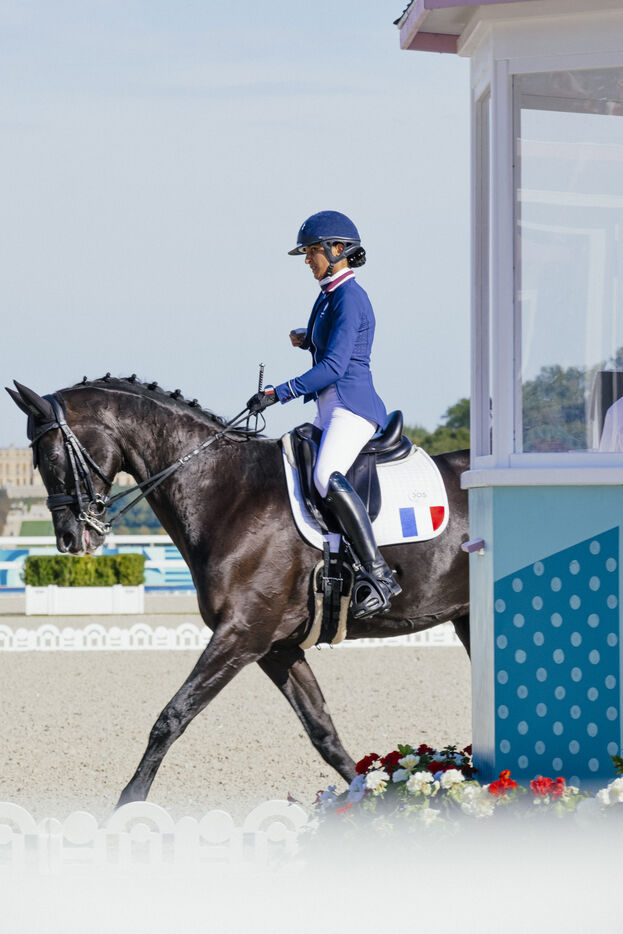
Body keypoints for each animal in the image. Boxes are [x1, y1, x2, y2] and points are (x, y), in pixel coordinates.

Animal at [7, 376, 470, 807]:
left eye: (50, 456)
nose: (69, 538)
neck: (226, 490)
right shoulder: (276, 647)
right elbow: (322, 732)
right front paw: (368, 797)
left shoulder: (242, 634)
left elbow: (172, 717)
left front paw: (128, 804)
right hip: (466, 618)